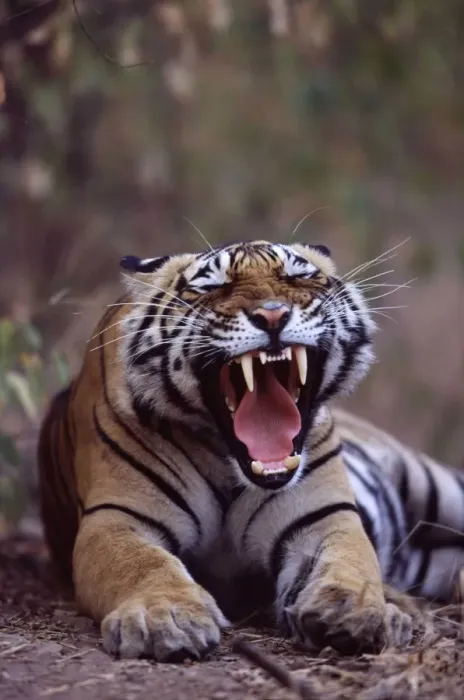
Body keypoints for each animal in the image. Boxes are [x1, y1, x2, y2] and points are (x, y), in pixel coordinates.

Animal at [38, 239, 464, 661]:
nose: (273, 316)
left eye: (298, 275)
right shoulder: (116, 519)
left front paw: (350, 607)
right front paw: (166, 618)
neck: (228, 461)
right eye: (211, 286)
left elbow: (349, 560)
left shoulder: (323, 518)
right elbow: (143, 564)